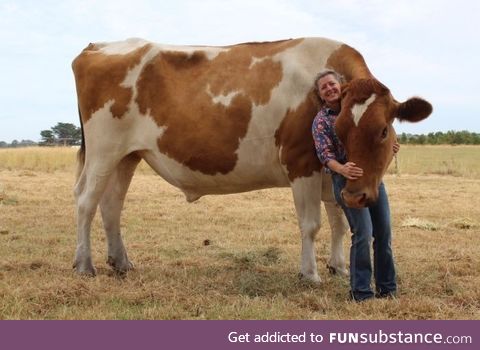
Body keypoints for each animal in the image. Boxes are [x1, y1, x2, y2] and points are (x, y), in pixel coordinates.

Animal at [73, 37, 434, 284]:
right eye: (340, 129)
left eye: (383, 130)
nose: (357, 195)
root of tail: (98, 46)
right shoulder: (301, 163)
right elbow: (312, 224)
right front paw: (310, 275)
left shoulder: (328, 175)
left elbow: (339, 222)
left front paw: (339, 267)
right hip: (104, 150)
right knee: (86, 201)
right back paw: (84, 265)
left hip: (126, 156)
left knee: (112, 204)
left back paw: (121, 262)